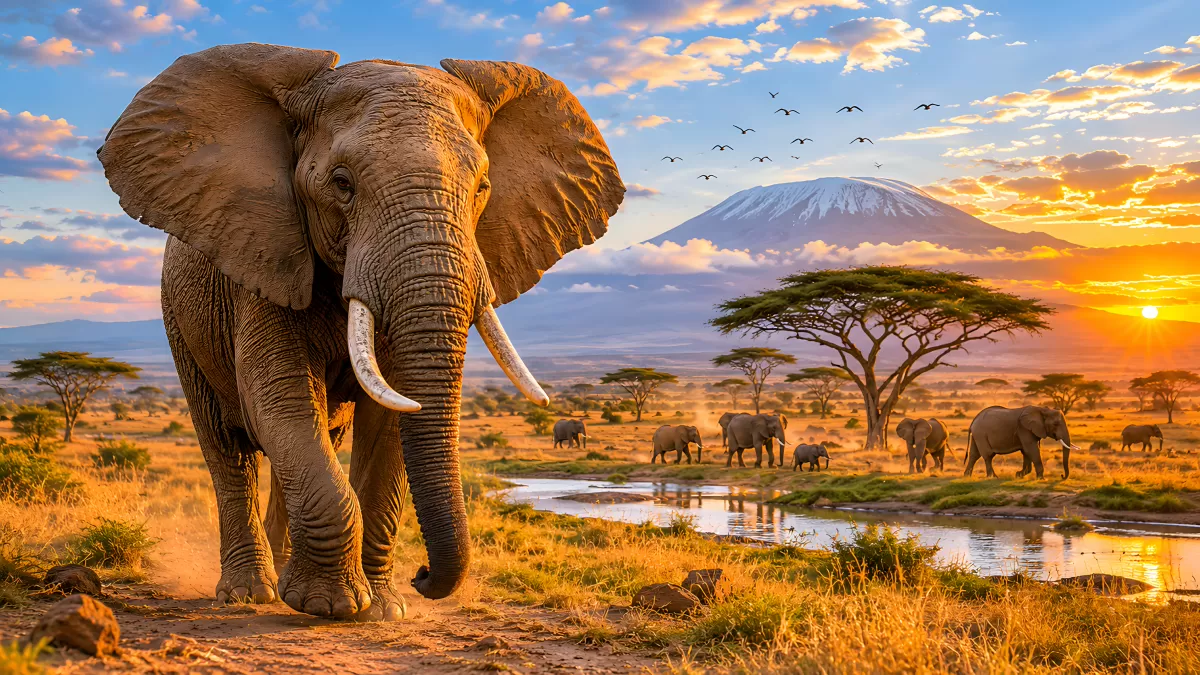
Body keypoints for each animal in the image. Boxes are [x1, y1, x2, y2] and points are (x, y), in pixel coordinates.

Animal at [97, 44, 622, 620]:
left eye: (483, 187)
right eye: (342, 183)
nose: (422, 576)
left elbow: (389, 420)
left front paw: (381, 608)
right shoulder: (263, 258)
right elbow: (280, 399)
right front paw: (327, 605)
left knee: (315, 438)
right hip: (180, 319)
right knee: (227, 448)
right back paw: (249, 592)